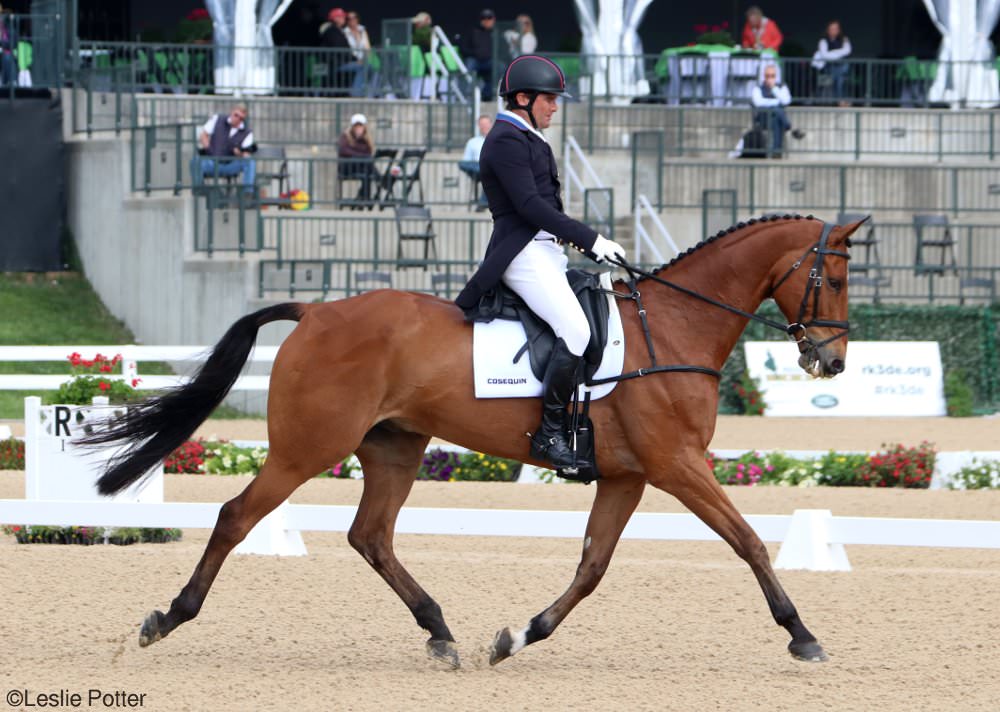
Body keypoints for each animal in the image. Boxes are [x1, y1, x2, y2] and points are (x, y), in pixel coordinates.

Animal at [86, 213, 864, 668]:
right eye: (835, 275)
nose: (831, 364)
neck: (671, 329)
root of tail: (316, 311)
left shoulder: (628, 475)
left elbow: (592, 567)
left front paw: (519, 636)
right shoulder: (677, 465)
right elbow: (750, 540)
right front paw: (801, 634)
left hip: (394, 446)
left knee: (370, 537)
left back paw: (439, 630)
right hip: (307, 447)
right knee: (236, 517)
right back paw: (168, 618)